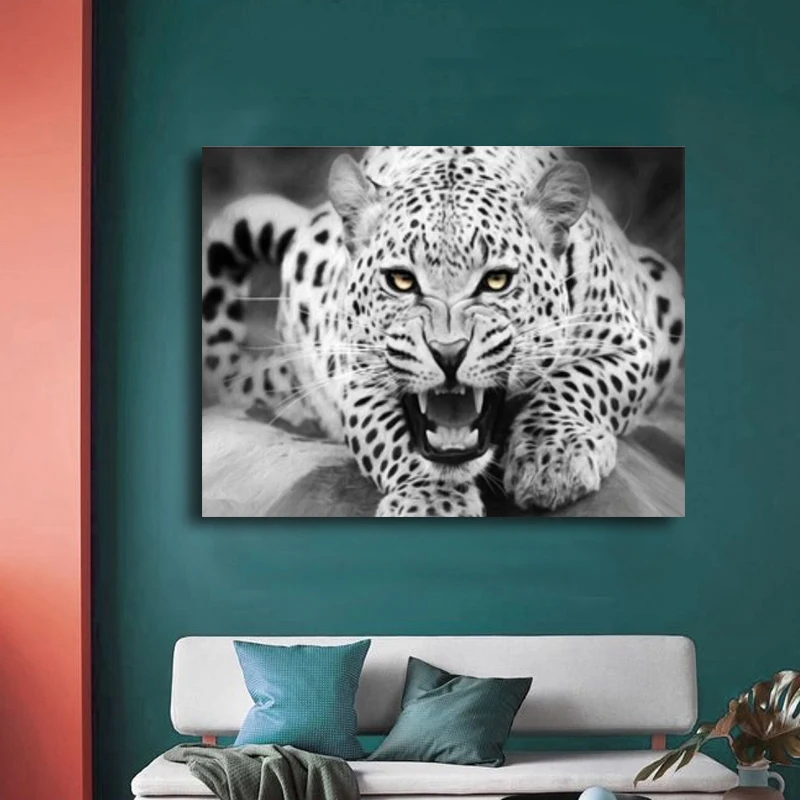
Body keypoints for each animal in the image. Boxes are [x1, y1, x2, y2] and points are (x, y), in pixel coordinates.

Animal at [202, 146, 685, 517]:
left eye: (496, 280)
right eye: (401, 280)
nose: (448, 352)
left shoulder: (629, 341)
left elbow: (578, 382)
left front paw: (553, 460)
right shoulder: (358, 376)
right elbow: (393, 437)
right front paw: (432, 502)